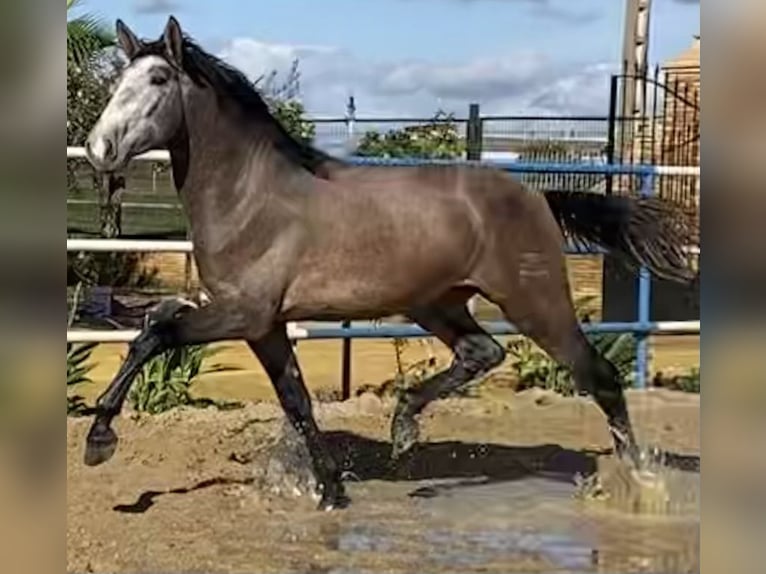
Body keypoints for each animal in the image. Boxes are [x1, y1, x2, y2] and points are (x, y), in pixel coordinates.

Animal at [81, 16, 700, 512]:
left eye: (158, 81)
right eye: (119, 82)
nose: (98, 149)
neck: (250, 198)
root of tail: (535, 196)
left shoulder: (242, 313)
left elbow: (154, 333)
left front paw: (99, 439)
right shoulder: (265, 326)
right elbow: (297, 401)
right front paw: (332, 492)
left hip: (534, 302)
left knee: (599, 376)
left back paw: (641, 485)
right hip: (436, 303)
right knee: (483, 353)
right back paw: (404, 425)